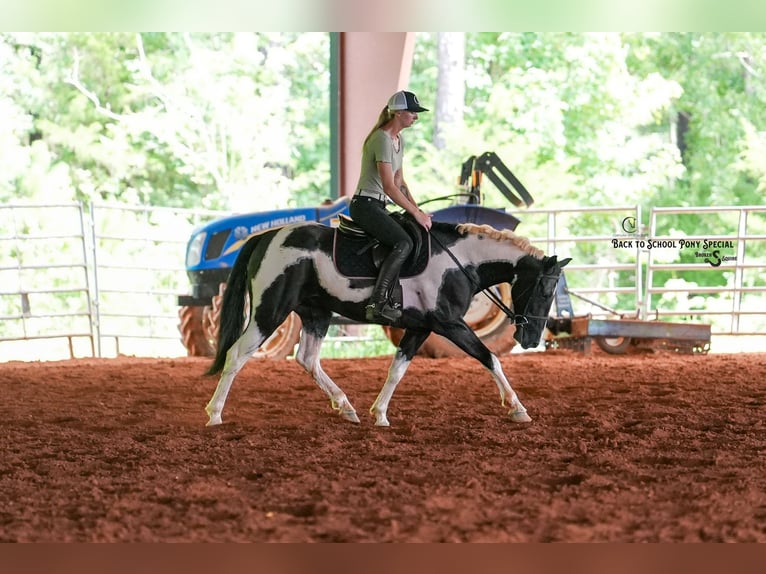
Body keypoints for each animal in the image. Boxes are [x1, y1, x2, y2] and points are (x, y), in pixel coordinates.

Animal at [203, 217, 570, 427]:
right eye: (545, 288)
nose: (531, 339)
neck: (460, 262)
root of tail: (267, 237)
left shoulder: (420, 327)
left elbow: (397, 369)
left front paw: (379, 414)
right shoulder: (449, 324)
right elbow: (490, 358)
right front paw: (517, 408)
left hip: (315, 313)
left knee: (307, 359)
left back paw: (345, 407)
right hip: (269, 311)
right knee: (237, 355)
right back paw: (215, 414)